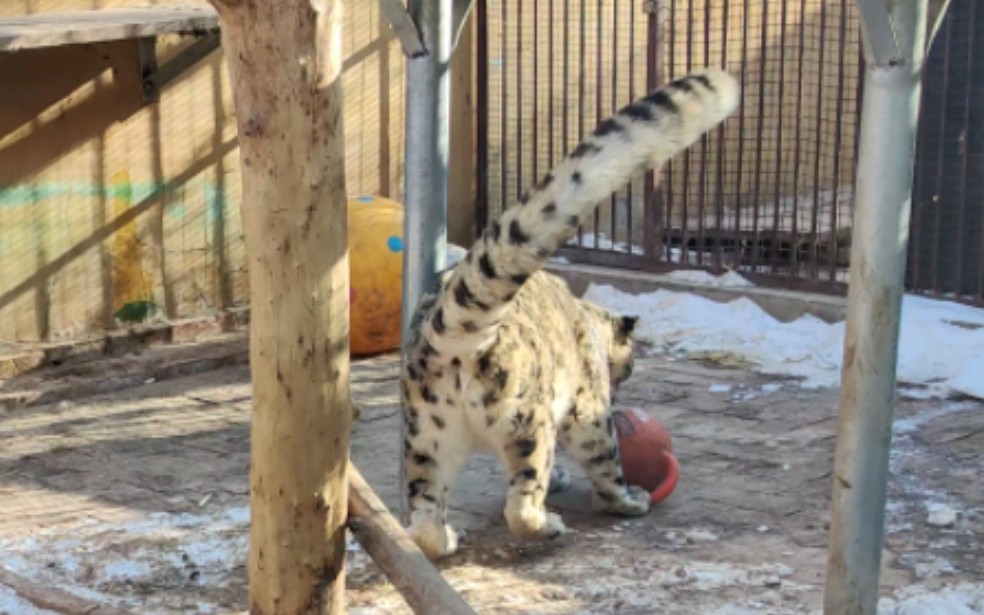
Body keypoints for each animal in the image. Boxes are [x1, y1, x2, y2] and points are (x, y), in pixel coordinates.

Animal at [400, 67, 736, 560]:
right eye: (630, 366)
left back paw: (443, 538)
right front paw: (627, 498)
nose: (623, 387)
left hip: (427, 433)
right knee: (523, 501)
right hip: (528, 420)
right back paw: (553, 525)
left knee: (425, 508)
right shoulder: (589, 410)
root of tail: (448, 339)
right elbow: (605, 459)